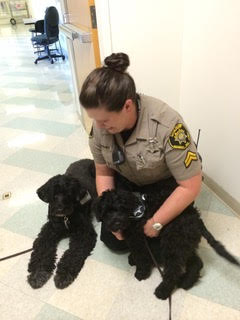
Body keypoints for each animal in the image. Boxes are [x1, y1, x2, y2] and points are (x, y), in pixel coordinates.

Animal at [27, 160, 96, 290]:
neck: (65, 218)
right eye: (54, 194)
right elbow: (42, 251)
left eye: (69, 194)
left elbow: (73, 253)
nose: (60, 209)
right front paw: (38, 274)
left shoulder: (84, 233)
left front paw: (63, 275)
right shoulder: (49, 230)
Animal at [94, 189, 240, 298]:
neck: (133, 215)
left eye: (122, 208)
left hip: (173, 243)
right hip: (183, 243)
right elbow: (136, 254)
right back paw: (187, 282)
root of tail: (196, 218)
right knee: (196, 262)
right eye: (106, 212)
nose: (116, 222)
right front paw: (132, 259)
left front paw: (141, 272)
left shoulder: (139, 240)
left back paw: (163, 290)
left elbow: (141, 257)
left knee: (174, 270)